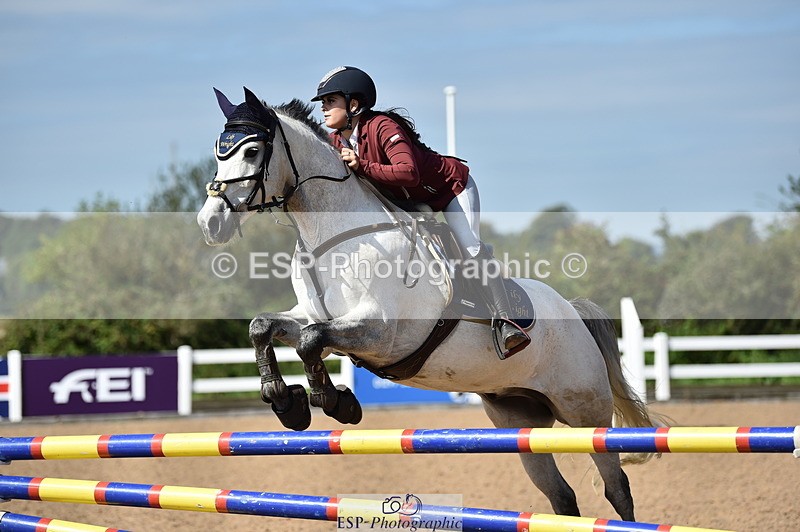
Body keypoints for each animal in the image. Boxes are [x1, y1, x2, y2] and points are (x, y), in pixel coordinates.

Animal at [196, 87, 657, 521]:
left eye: (252, 151)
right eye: (220, 150)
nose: (209, 223)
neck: (333, 234)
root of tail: (573, 312)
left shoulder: (381, 332)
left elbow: (310, 341)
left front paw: (334, 403)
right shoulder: (315, 318)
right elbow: (265, 327)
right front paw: (285, 401)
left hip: (585, 413)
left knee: (617, 488)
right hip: (519, 421)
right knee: (561, 496)